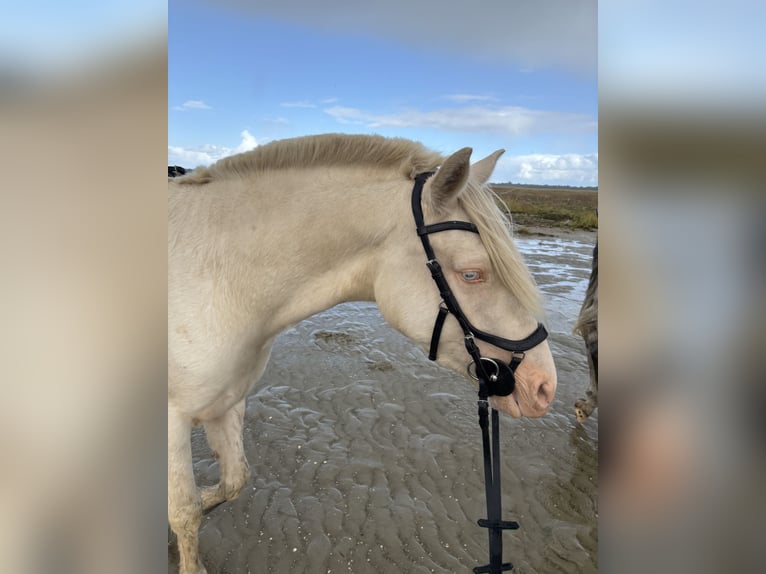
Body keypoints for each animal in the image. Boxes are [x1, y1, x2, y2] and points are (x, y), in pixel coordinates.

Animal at [170, 135, 560, 574]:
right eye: (472, 274)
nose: (543, 386)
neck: (216, 278)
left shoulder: (227, 402)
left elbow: (232, 481)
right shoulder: (173, 418)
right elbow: (184, 511)